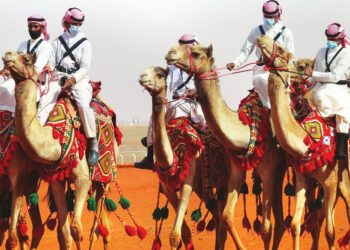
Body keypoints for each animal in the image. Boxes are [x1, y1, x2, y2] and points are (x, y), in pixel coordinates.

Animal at [1, 51, 119, 250]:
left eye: (26, 59)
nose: (7, 55)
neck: (55, 138)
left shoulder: (82, 178)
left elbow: (76, 229)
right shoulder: (54, 180)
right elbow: (64, 232)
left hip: (105, 178)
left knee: (98, 227)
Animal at [138, 66, 226, 250]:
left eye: (159, 74)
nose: (142, 77)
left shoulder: (188, 177)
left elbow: (175, 235)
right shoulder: (167, 186)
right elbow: (183, 233)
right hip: (202, 185)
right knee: (216, 212)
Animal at [165, 45, 286, 250]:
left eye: (196, 53)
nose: (170, 53)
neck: (248, 130)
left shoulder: (269, 170)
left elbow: (265, 229)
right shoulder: (236, 167)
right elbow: (228, 216)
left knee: (278, 221)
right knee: (280, 221)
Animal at [254, 35, 350, 250]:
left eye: (281, 49)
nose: (261, 38)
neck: (307, 141)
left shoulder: (331, 182)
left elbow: (330, 232)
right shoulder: (303, 178)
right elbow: (296, 225)